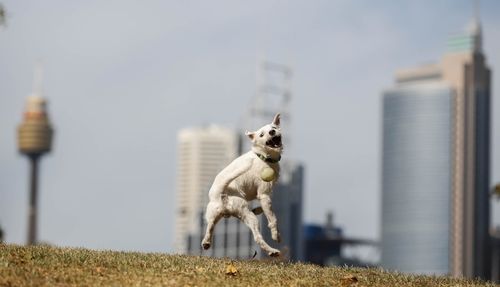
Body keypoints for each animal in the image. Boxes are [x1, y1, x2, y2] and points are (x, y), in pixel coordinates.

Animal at [200, 113, 286, 258]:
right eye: (262, 134)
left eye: (274, 127)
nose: (272, 132)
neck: (262, 155)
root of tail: (221, 194)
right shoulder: (264, 194)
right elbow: (272, 217)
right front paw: (276, 235)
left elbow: (267, 207)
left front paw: (259, 209)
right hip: (247, 214)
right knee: (257, 237)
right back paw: (272, 250)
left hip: (214, 214)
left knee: (210, 227)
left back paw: (206, 242)